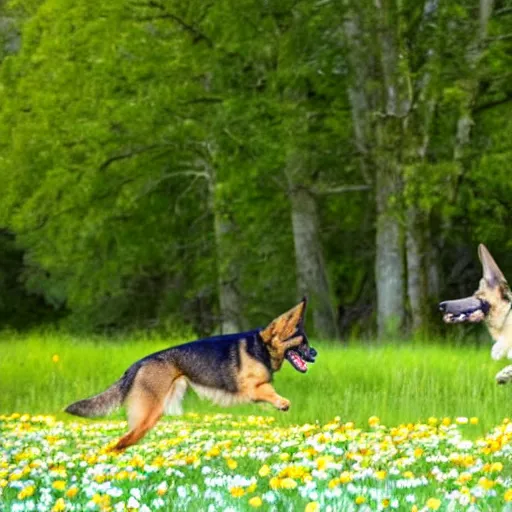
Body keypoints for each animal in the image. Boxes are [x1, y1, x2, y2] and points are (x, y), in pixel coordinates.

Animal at [65, 298, 316, 450]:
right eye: (302, 343)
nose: (315, 353)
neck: (262, 346)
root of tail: (139, 363)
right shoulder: (250, 389)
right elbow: (270, 392)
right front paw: (282, 403)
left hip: (152, 415)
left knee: (124, 441)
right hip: (148, 413)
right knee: (121, 442)